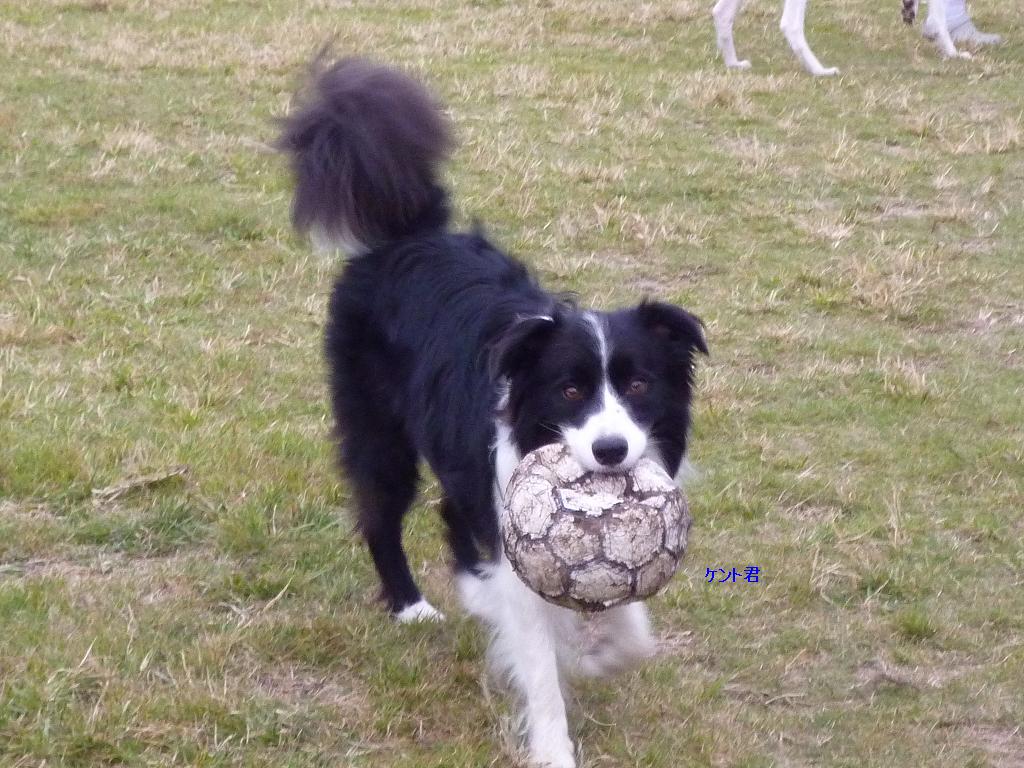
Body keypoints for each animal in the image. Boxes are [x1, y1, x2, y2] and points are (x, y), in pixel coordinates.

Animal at [277, 57, 707, 768]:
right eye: (569, 391)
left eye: (640, 385)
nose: (611, 452)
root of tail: (409, 233)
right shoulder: (507, 517)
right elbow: (539, 660)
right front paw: (555, 744)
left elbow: (627, 625)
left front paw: (601, 654)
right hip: (381, 430)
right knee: (382, 514)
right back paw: (411, 606)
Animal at [712, 0, 984, 76]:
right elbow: (938, 17)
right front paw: (952, 52)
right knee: (790, 24)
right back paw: (820, 71)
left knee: (721, 12)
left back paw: (733, 63)